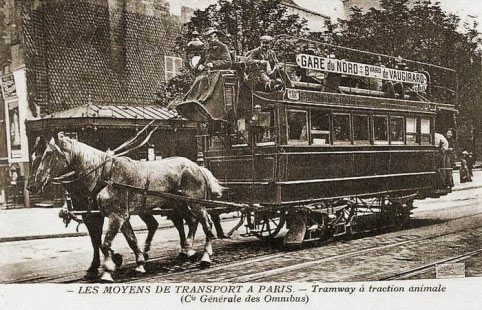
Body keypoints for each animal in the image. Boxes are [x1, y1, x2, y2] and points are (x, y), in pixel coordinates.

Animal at [32, 137, 224, 282]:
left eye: (49, 154)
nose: (33, 184)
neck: (105, 175)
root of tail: (198, 166)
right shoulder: (120, 216)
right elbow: (130, 240)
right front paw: (139, 263)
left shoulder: (115, 216)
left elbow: (105, 243)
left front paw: (107, 271)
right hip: (179, 204)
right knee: (190, 221)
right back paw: (188, 249)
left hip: (196, 204)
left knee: (207, 225)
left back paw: (205, 256)